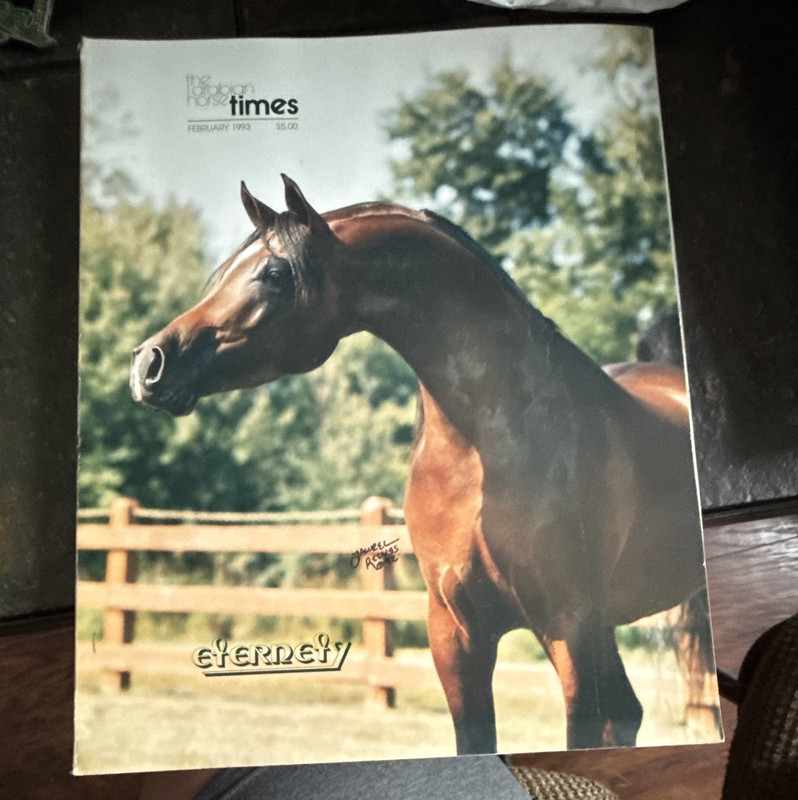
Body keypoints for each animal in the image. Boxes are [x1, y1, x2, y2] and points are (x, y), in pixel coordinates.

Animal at [130, 175, 708, 754]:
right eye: (223, 273)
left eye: (275, 274)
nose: (148, 363)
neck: (487, 452)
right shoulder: (455, 632)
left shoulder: (569, 625)